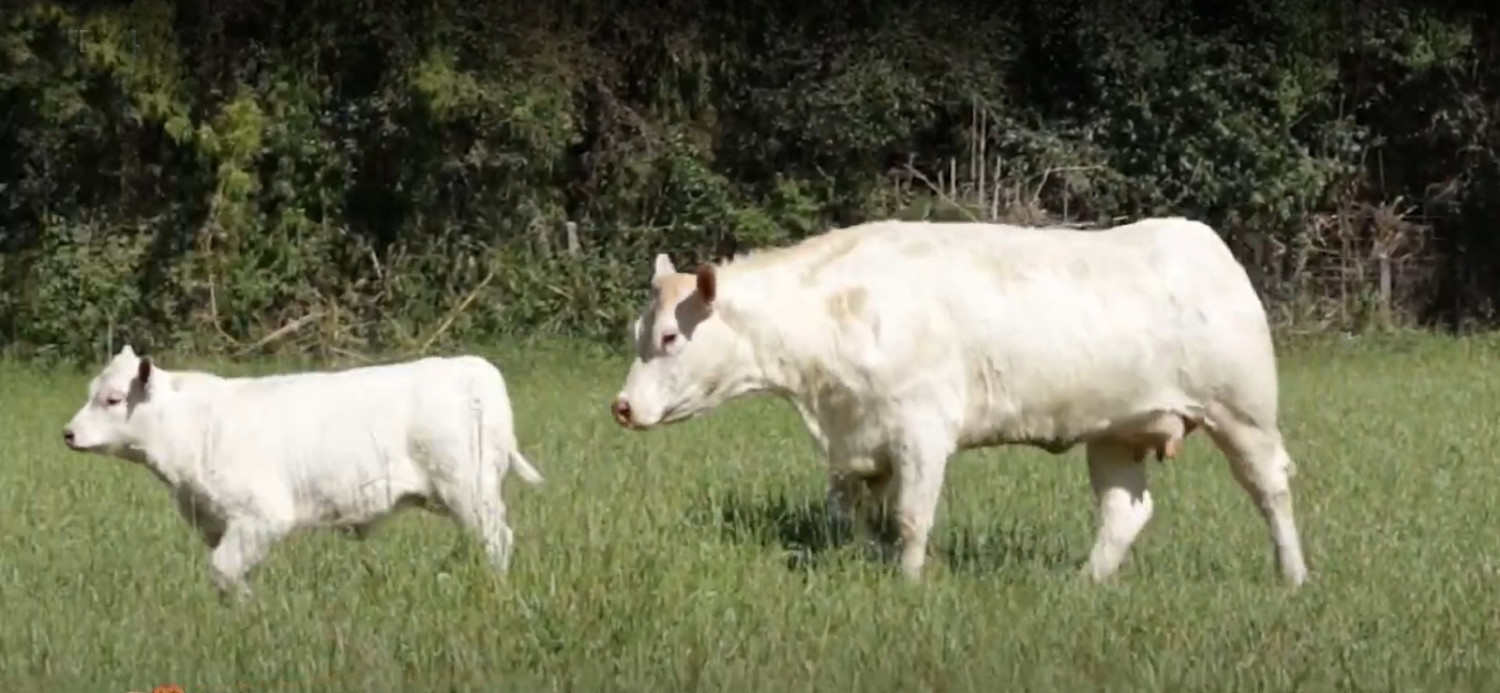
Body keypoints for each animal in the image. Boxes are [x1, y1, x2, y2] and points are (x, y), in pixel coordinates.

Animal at [66, 349, 546, 597]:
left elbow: (223, 568)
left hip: (468, 489)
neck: (192, 428)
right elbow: (226, 571)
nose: (68, 433)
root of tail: (474, 368)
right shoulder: (215, 523)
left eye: (112, 399)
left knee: (497, 539)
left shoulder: (262, 515)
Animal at [609, 216, 1314, 585]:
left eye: (670, 336)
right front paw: (867, 563)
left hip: (1243, 414)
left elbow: (912, 518)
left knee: (1272, 490)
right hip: (1116, 431)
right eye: (638, 330)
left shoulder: (921, 429)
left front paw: (909, 583)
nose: (622, 407)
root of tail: (1203, 241)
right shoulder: (857, 444)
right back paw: (1082, 585)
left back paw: (1293, 576)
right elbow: (852, 516)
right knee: (1125, 513)